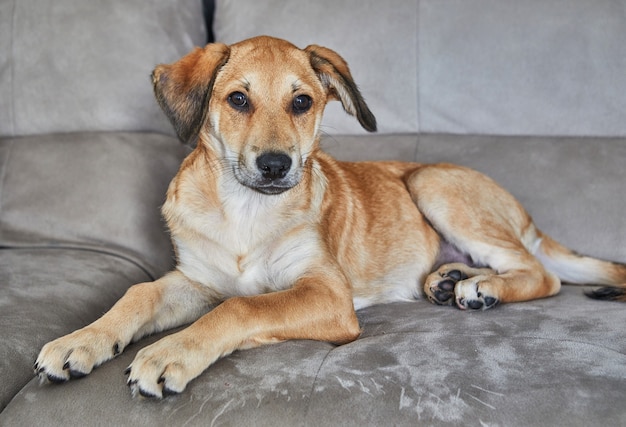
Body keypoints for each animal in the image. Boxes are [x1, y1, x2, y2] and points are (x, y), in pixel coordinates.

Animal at [35, 35, 624, 400]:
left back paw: (483, 287)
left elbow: (243, 308)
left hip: (431, 183)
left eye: (301, 102)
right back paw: (451, 278)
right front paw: (79, 342)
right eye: (238, 100)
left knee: (542, 274)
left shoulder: (327, 294)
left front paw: (169, 353)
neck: (247, 210)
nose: (276, 166)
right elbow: (138, 295)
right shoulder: (196, 280)